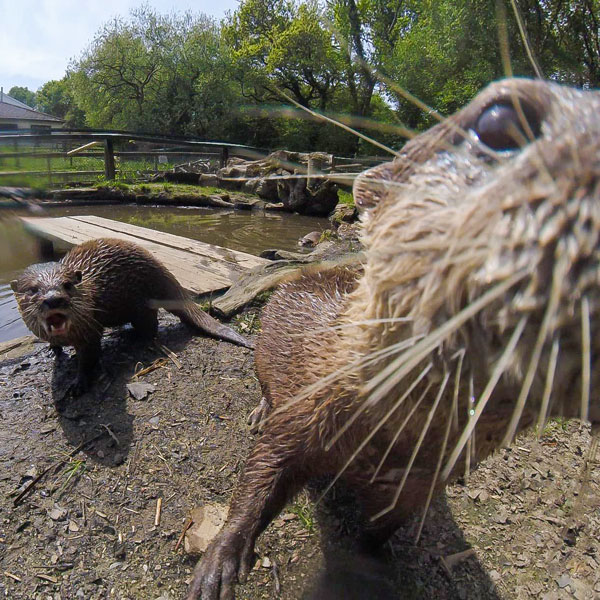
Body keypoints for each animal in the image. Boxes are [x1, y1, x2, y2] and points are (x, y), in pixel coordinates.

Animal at [11, 237, 251, 396]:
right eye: (33, 289)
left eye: (67, 285)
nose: (54, 299)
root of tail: (162, 271)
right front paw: (53, 349)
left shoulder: (90, 330)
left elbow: (88, 358)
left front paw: (78, 383)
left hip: (141, 305)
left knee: (151, 327)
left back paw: (132, 337)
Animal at [188, 77, 600, 596]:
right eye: (499, 122)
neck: (382, 440)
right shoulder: (299, 415)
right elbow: (258, 481)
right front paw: (221, 560)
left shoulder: (424, 482)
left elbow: (384, 529)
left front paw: (368, 565)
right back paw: (260, 409)